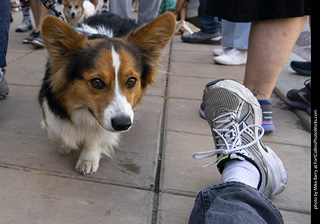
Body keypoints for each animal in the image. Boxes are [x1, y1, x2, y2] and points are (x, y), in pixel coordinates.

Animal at [39, 12, 175, 175]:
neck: (83, 111)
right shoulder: (49, 106)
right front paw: (64, 147)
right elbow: (55, 131)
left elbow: (96, 138)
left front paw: (88, 159)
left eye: (131, 81)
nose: (123, 124)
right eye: (96, 82)